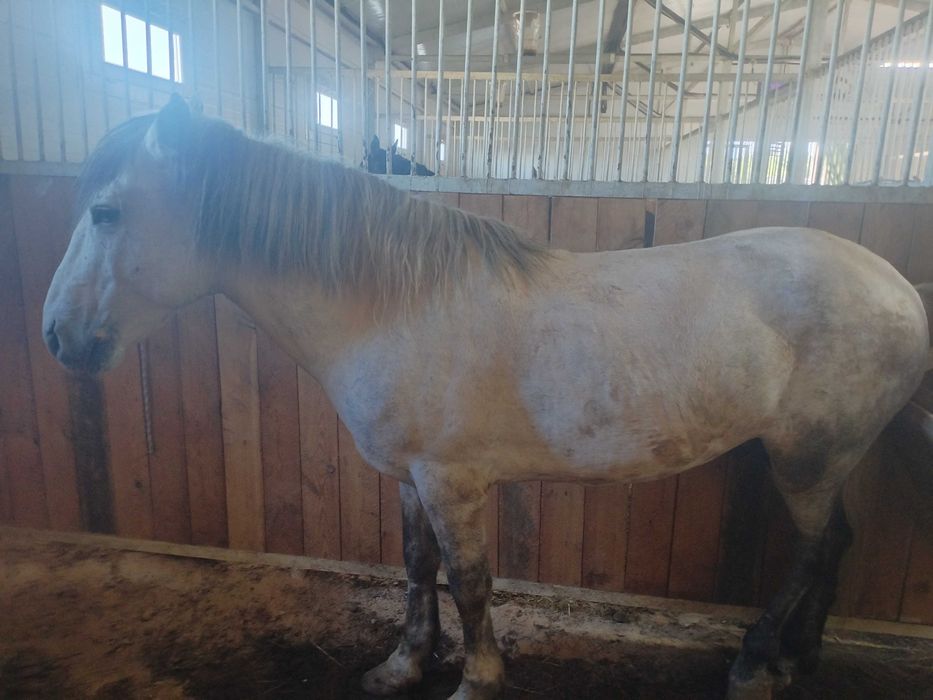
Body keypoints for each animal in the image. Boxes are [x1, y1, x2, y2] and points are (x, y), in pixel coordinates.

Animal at [43, 96, 931, 699]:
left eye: (106, 211)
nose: (58, 337)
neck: (394, 304)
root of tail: (896, 289)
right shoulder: (410, 478)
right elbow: (415, 567)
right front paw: (403, 664)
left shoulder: (452, 480)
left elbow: (469, 580)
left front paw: (476, 678)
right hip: (823, 461)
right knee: (837, 544)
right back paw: (797, 657)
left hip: (805, 460)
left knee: (812, 550)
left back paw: (753, 664)